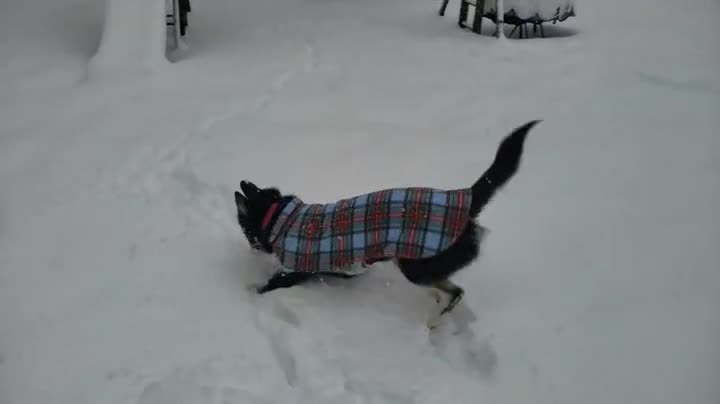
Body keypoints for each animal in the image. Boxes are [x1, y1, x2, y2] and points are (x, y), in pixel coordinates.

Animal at [233, 120, 536, 322]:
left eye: (245, 229)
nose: (242, 182)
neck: (280, 217)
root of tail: (466, 197)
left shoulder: (293, 271)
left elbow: (268, 285)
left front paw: (248, 291)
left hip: (416, 265)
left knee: (456, 292)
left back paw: (434, 319)